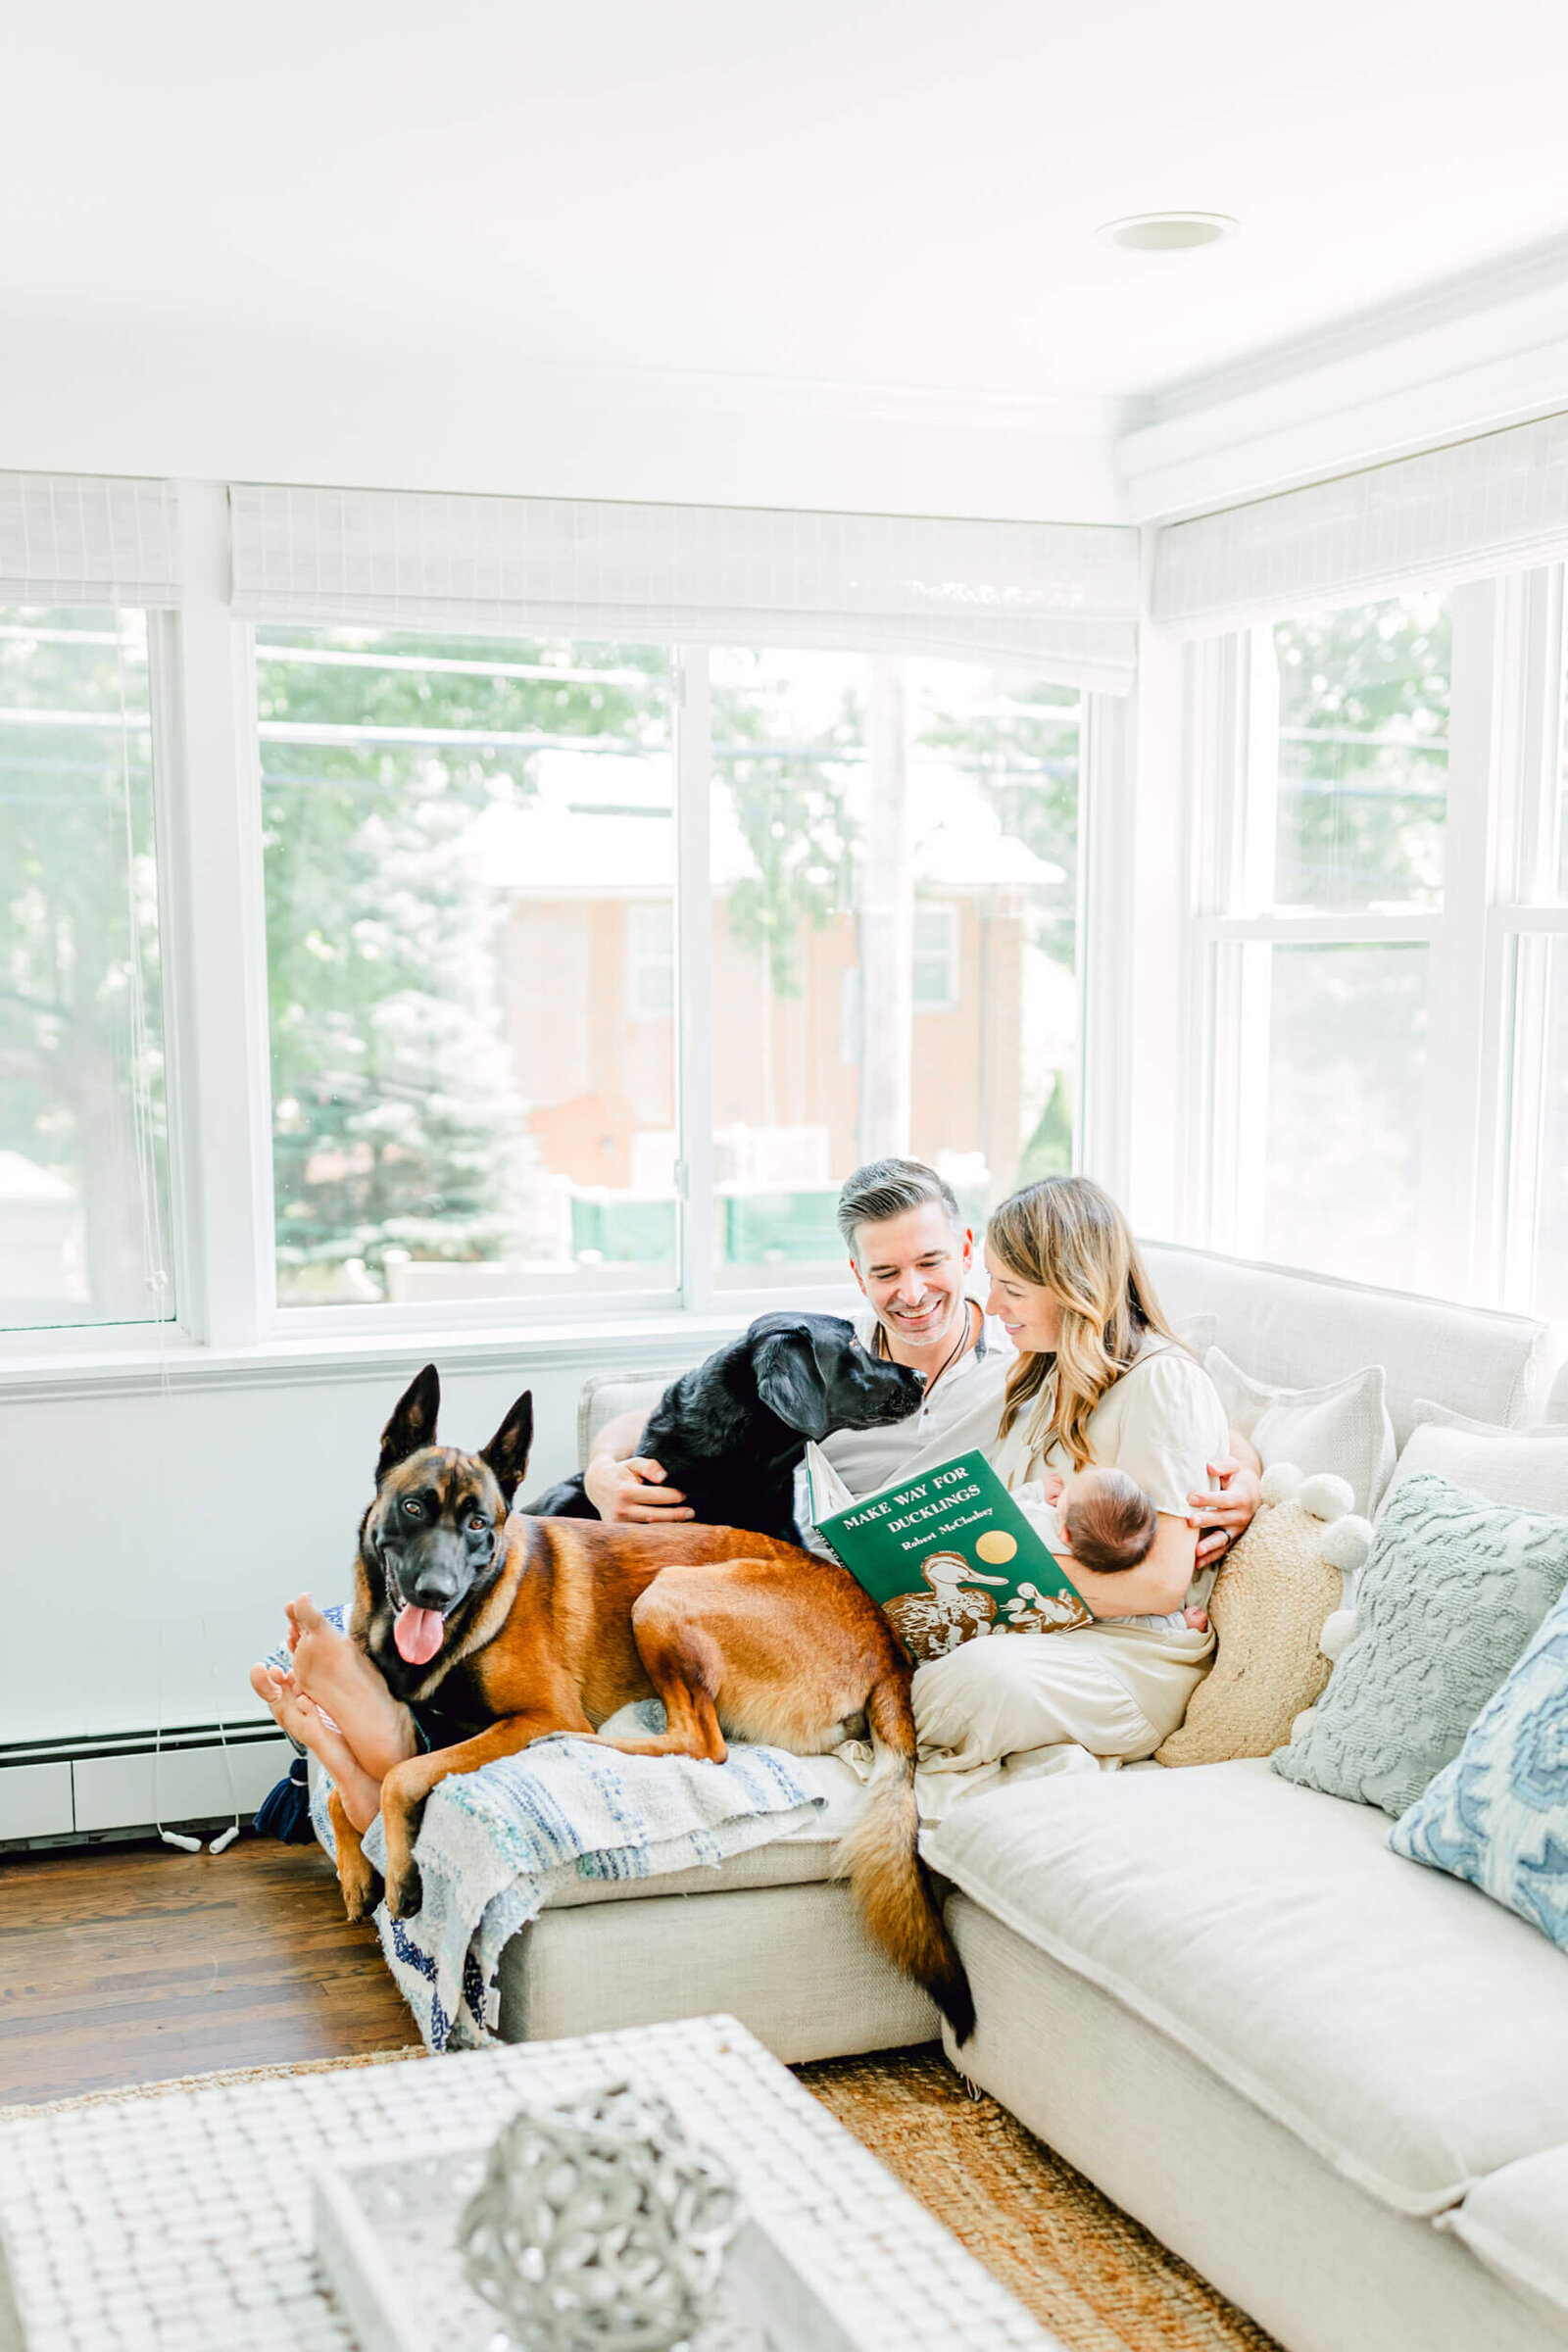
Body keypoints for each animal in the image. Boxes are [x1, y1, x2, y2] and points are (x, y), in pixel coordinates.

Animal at [328, 1364, 968, 2041]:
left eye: (479, 1523)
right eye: (413, 1506)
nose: (435, 1591)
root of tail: (887, 1646)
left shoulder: (532, 1713)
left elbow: (398, 1777)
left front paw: (400, 1875)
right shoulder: (428, 1726)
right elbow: (350, 1787)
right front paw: (355, 1872)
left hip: (663, 1597)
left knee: (701, 1743)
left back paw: (580, 1742)